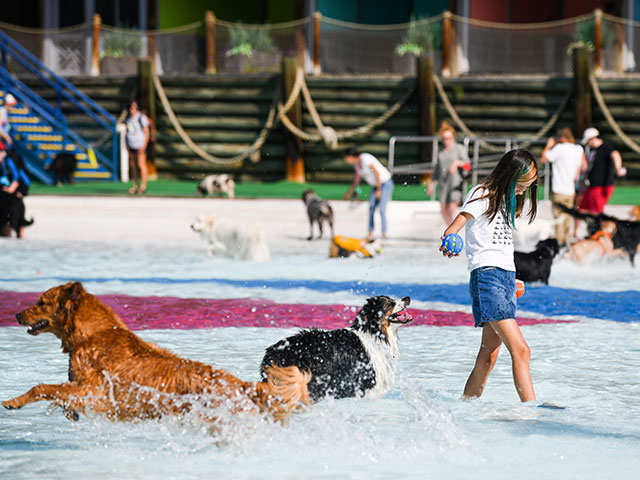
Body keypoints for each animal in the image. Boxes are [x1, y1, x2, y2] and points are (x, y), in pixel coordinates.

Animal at [1, 284, 308, 426]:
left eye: (41, 302)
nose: (15, 315)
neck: (91, 334)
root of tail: (239, 383)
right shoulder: (82, 387)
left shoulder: (93, 388)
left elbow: (41, 387)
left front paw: (13, 401)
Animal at [262, 296, 416, 402]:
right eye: (388, 304)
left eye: (391, 299)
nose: (407, 298)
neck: (374, 334)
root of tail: (271, 353)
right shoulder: (368, 383)